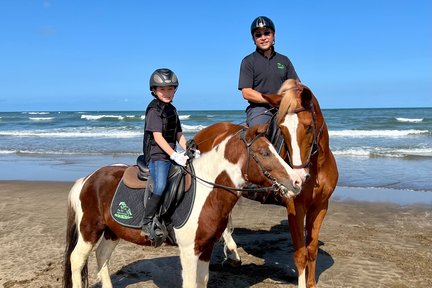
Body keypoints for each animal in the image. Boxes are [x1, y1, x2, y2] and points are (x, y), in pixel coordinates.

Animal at [62, 124, 302, 288]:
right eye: (265, 153)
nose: (298, 181)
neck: (208, 189)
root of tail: (87, 179)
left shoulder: (205, 248)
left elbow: (202, 281)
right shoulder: (188, 250)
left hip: (112, 231)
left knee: (102, 256)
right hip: (89, 229)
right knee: (77, 259)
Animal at [194, 80, 340, 288]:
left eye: (309, 127)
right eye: (283, 129)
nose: (299, 177)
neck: (317, 168)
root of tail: (204, 133)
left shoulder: (320, 207)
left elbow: (311, 250)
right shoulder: (296, 208)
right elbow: (301, 254)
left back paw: (233, 254)